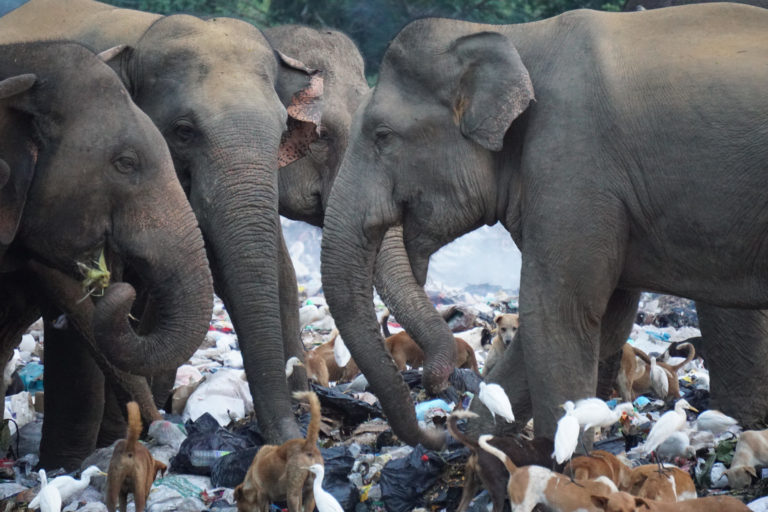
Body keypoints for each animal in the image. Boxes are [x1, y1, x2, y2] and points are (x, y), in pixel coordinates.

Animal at [320, 4, 768, 447]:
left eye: (382, 135)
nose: (435, 424)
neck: (518, 37)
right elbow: (603, 320)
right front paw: (480, 448)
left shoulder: (573, 165)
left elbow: (556, 315)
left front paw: (562, 463)